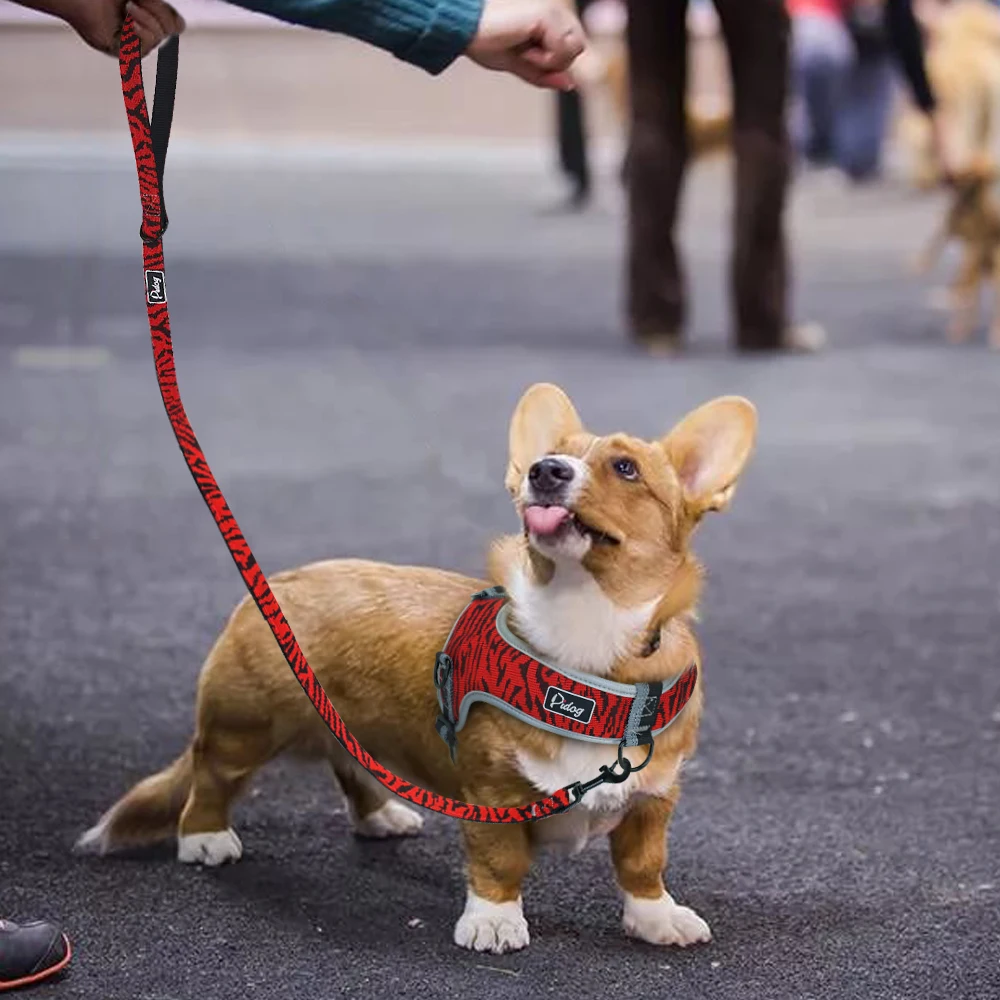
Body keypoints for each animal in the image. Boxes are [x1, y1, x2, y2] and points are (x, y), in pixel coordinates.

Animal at [80, 380, 756, 952]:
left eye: (625, 469)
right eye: (551, 457)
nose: (544, 471)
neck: (585, 638)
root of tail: (270, 586)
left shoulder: (654, 797)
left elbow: (643, 863)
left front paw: (658, 918)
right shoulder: (493, 793)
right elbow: (498, 861)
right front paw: (494, 922)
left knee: (350, 765)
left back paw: (381, 815)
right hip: (240, 728)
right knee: (211, 778)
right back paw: (205, 837)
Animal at [916, 154, 1000, 346]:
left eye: (966, 173)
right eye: (959, 173)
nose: (947, 174)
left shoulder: (973, 241)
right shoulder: (951, 229)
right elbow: (934, 245)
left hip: (989, 266)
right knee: (968, 292)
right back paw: (963, 325)